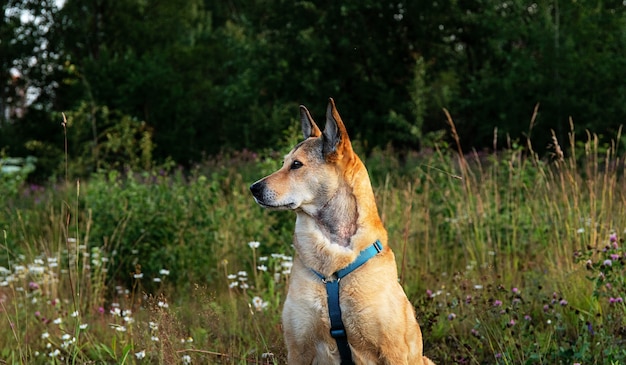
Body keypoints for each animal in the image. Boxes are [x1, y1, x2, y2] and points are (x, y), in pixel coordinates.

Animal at [249, 98, 434, 362]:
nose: (253, 188)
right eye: (284, 163)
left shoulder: (392, 351)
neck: (332, 269)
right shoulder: (298, 347)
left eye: (297, 165)